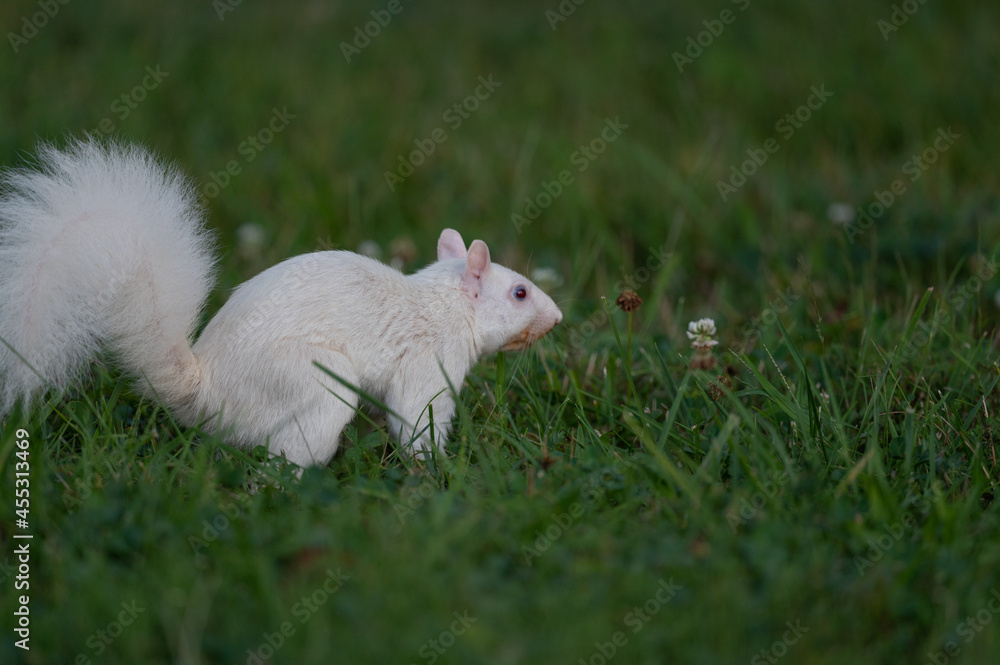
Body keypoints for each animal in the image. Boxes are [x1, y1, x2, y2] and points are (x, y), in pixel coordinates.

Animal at [0, 138, 562, 467]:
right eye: (519, 292)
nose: (557, 317)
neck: (445, 304)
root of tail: (207, 395)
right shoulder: (428, 364)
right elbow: (417, 420)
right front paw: (435, 469)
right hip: (311, 382)